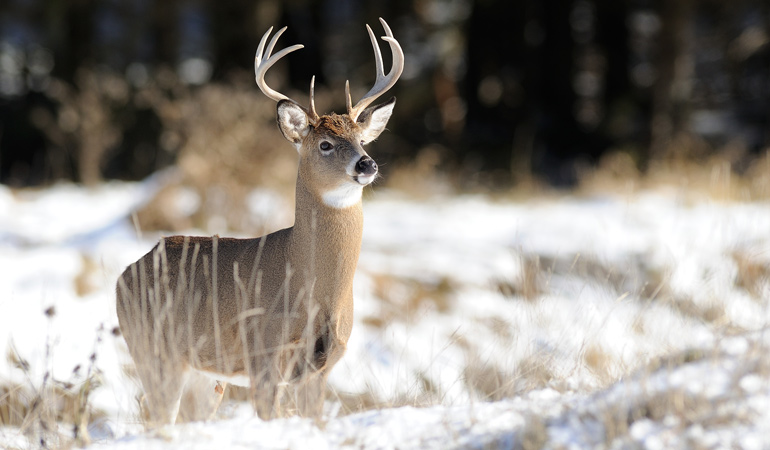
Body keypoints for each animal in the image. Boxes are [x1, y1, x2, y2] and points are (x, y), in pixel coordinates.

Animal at [115, 17, 402, 426]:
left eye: (363, 139)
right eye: (325, 144)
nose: (367, 164)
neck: (313, 286)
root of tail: (123, 276)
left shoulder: (321, 366)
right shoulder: (263, 354)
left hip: (205, 375)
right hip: (154, 350)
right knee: (157, 414)